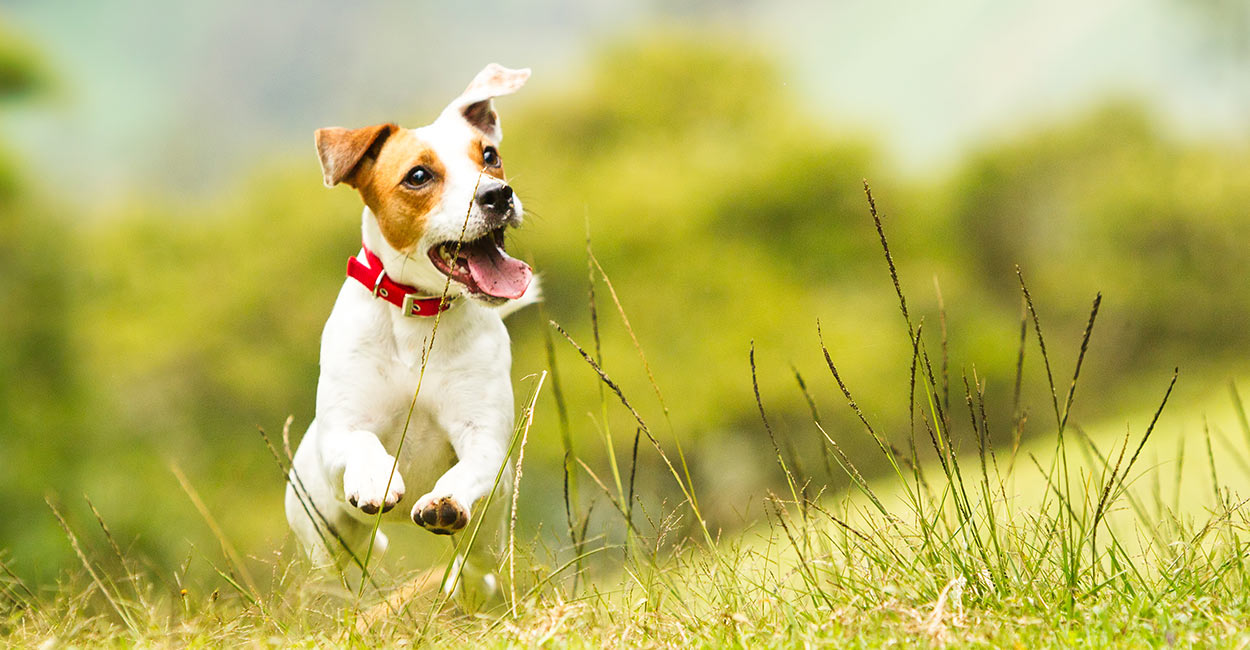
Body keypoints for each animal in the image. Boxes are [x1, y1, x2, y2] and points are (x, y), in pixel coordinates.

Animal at [286, 62, 540, 600]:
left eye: (490, 157)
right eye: (418, 176)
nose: (498, 195)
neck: (417, 319)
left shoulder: (484, 437)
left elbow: (472, 466)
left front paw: (445, 500)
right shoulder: (341, 433)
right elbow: (361, 443)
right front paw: (375, 479)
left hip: (485, 546)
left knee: (477, 565)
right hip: (323, 536)